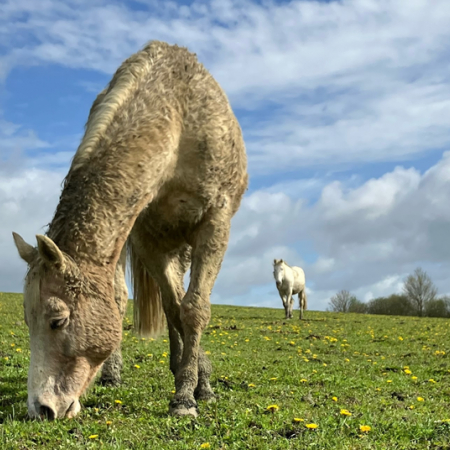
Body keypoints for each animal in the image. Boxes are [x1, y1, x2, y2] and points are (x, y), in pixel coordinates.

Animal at [12, 41, 248, 420]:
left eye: (57, 320)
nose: (41, 409)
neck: (179, 120)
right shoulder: (146, 239)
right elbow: (173, 310)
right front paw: (187, 384)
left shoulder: (215, 223)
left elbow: (194, 309)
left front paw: (191, 395)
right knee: (144, 300)